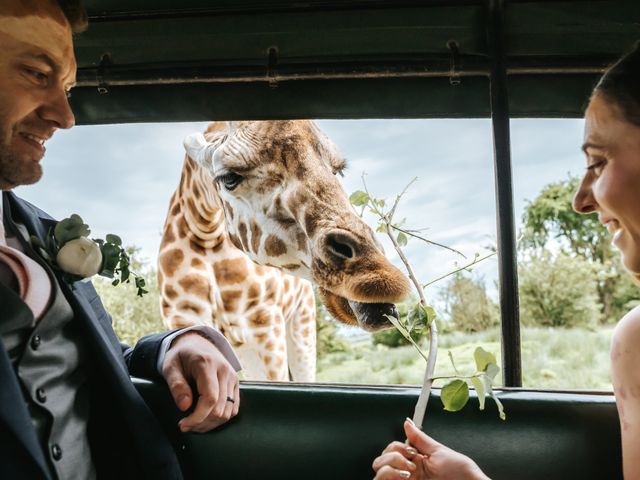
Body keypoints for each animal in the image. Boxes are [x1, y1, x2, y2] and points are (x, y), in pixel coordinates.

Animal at [158, 121, 412, 382]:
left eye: (338, 170)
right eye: (229, 178)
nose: (380, 278)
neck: (206, 236)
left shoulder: (266, 322)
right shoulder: (183, 320)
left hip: (301, 326)